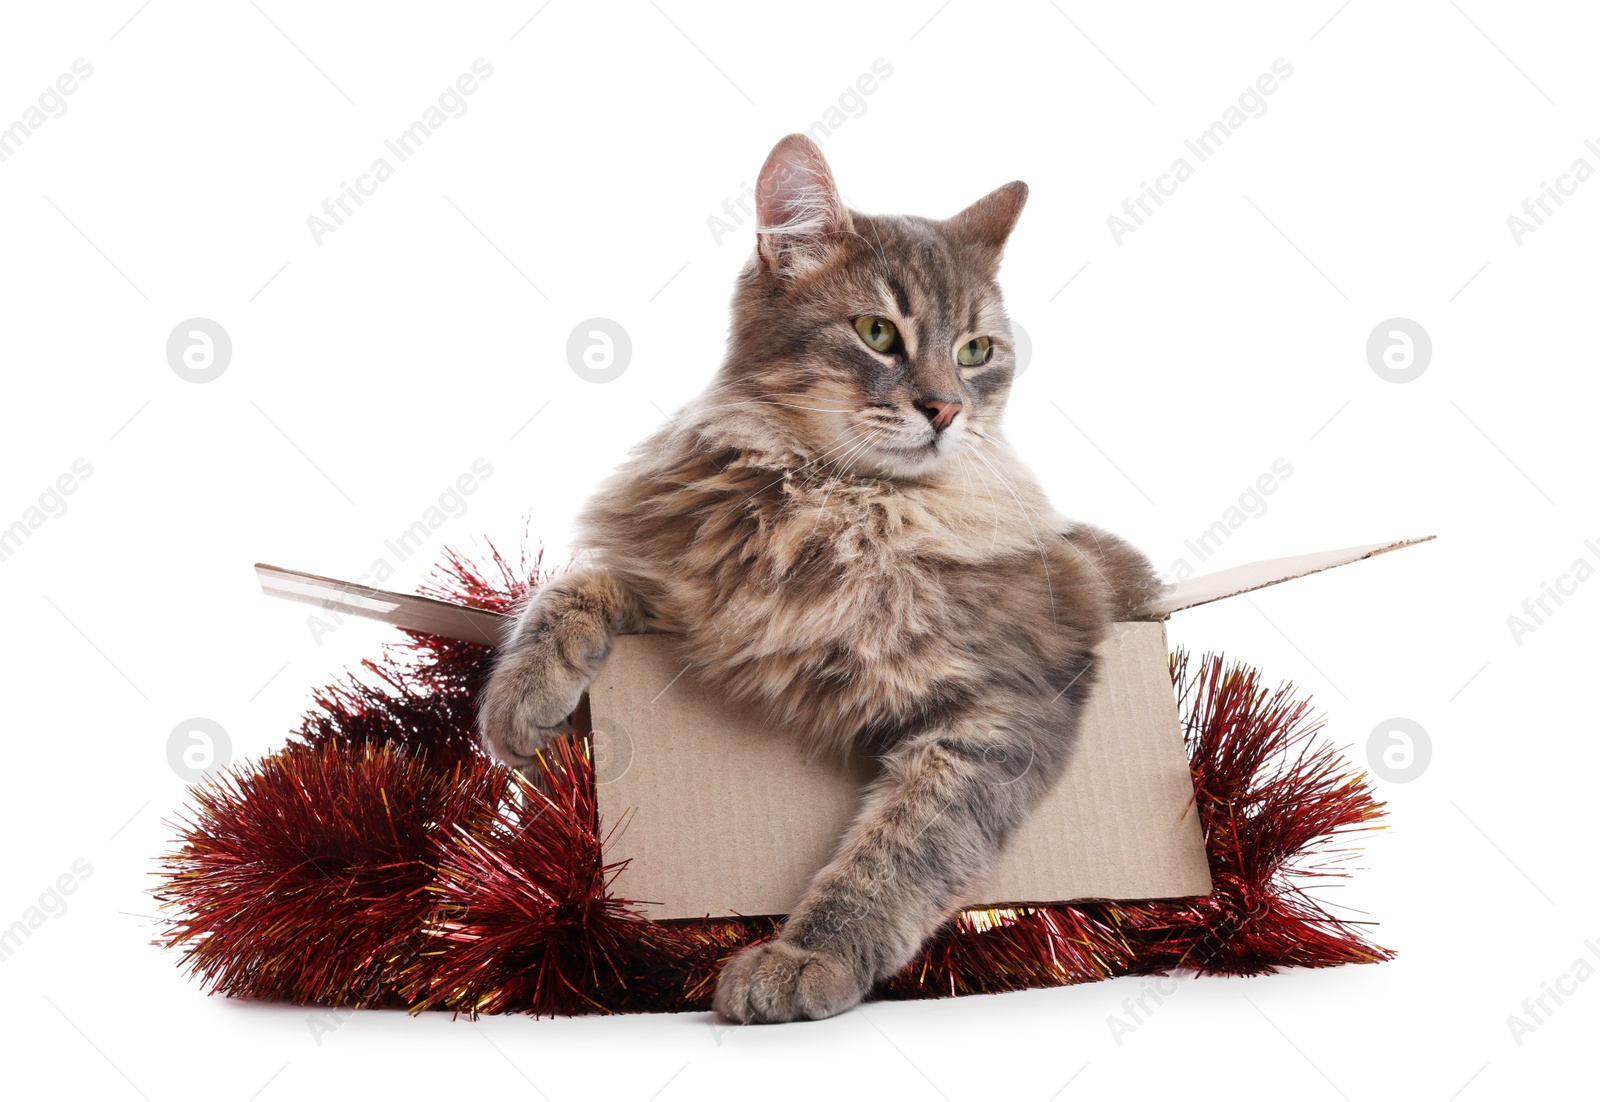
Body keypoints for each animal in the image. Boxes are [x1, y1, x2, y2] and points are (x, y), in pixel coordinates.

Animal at [473, 133, 1164, 1017]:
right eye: (877, 333)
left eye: (976, 352)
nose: (946, 409)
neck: (831, 505)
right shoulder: (690, 595)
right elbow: (570, 589)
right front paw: (520, 699)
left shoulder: (1002, 705)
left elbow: (896, 851)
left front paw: (810, 956)